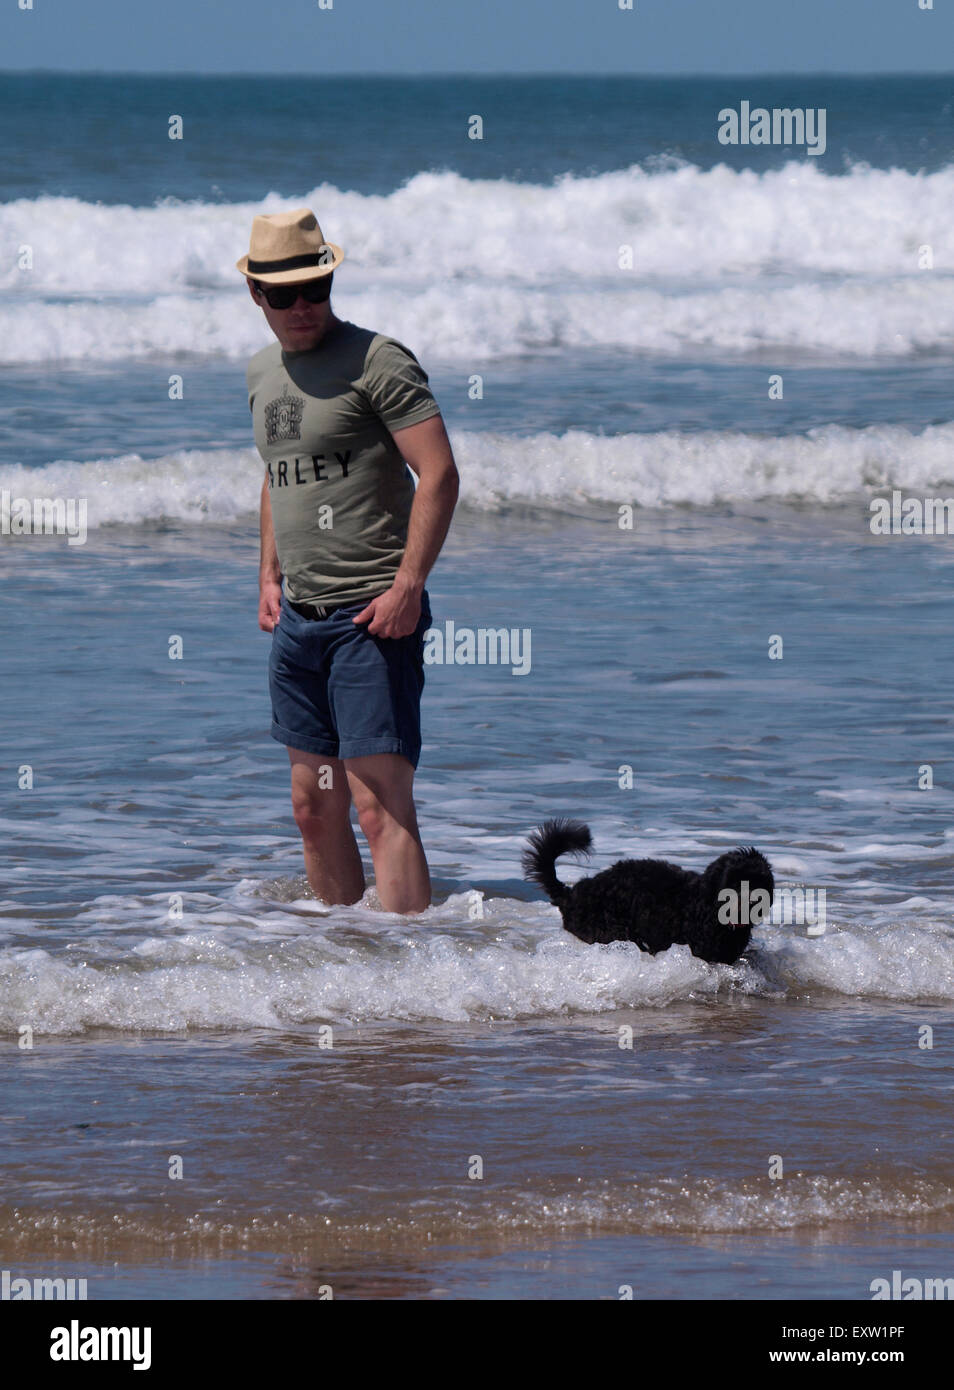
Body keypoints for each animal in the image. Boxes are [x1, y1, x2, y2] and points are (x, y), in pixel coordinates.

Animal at [522, 811, 778, 967]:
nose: (752, 901)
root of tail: (571, 895)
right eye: (734, 882)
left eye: (759, 882)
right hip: (609, 933)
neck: (709, 907)